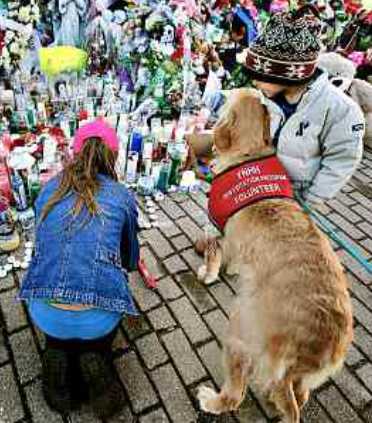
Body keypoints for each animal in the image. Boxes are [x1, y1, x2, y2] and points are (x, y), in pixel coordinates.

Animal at [196, 88, 354, 422]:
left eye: (229, 97)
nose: (220, 90)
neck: (249, 153)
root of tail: (326, 342)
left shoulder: (215, 226)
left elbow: (213, 255)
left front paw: (209, 274)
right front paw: (232, 270)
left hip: (240, 330)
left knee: (236, 393)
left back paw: (212, 400)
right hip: (297, 379)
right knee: (299, 394)